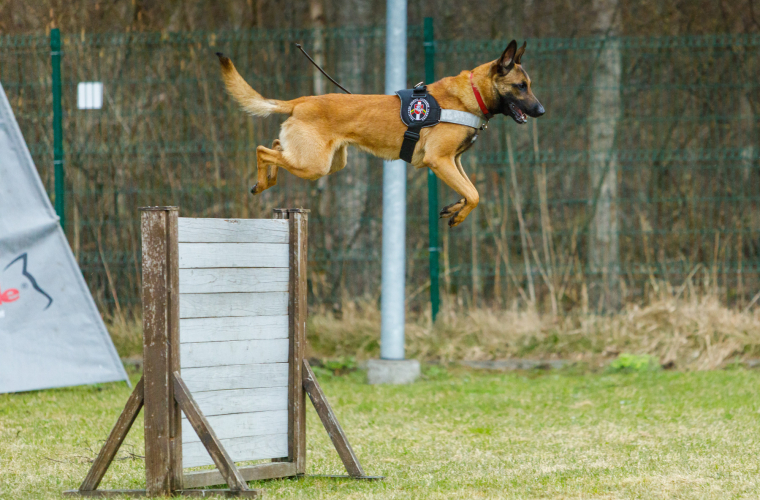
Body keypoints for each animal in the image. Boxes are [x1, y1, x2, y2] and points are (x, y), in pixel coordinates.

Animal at [217, 40, 544, 228]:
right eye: (520, 87)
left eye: (529, 85)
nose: (541, 111)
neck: (470, 95)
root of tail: (301, 101)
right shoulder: (440, 161)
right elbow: (474, 194)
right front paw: (460, 214)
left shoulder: (454, 162)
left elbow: (472, 192)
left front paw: (454, 208)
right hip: (314, 165)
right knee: (262, 149)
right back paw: (262, 183)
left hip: (329, 162)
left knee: (275, 145)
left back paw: (267, 179)